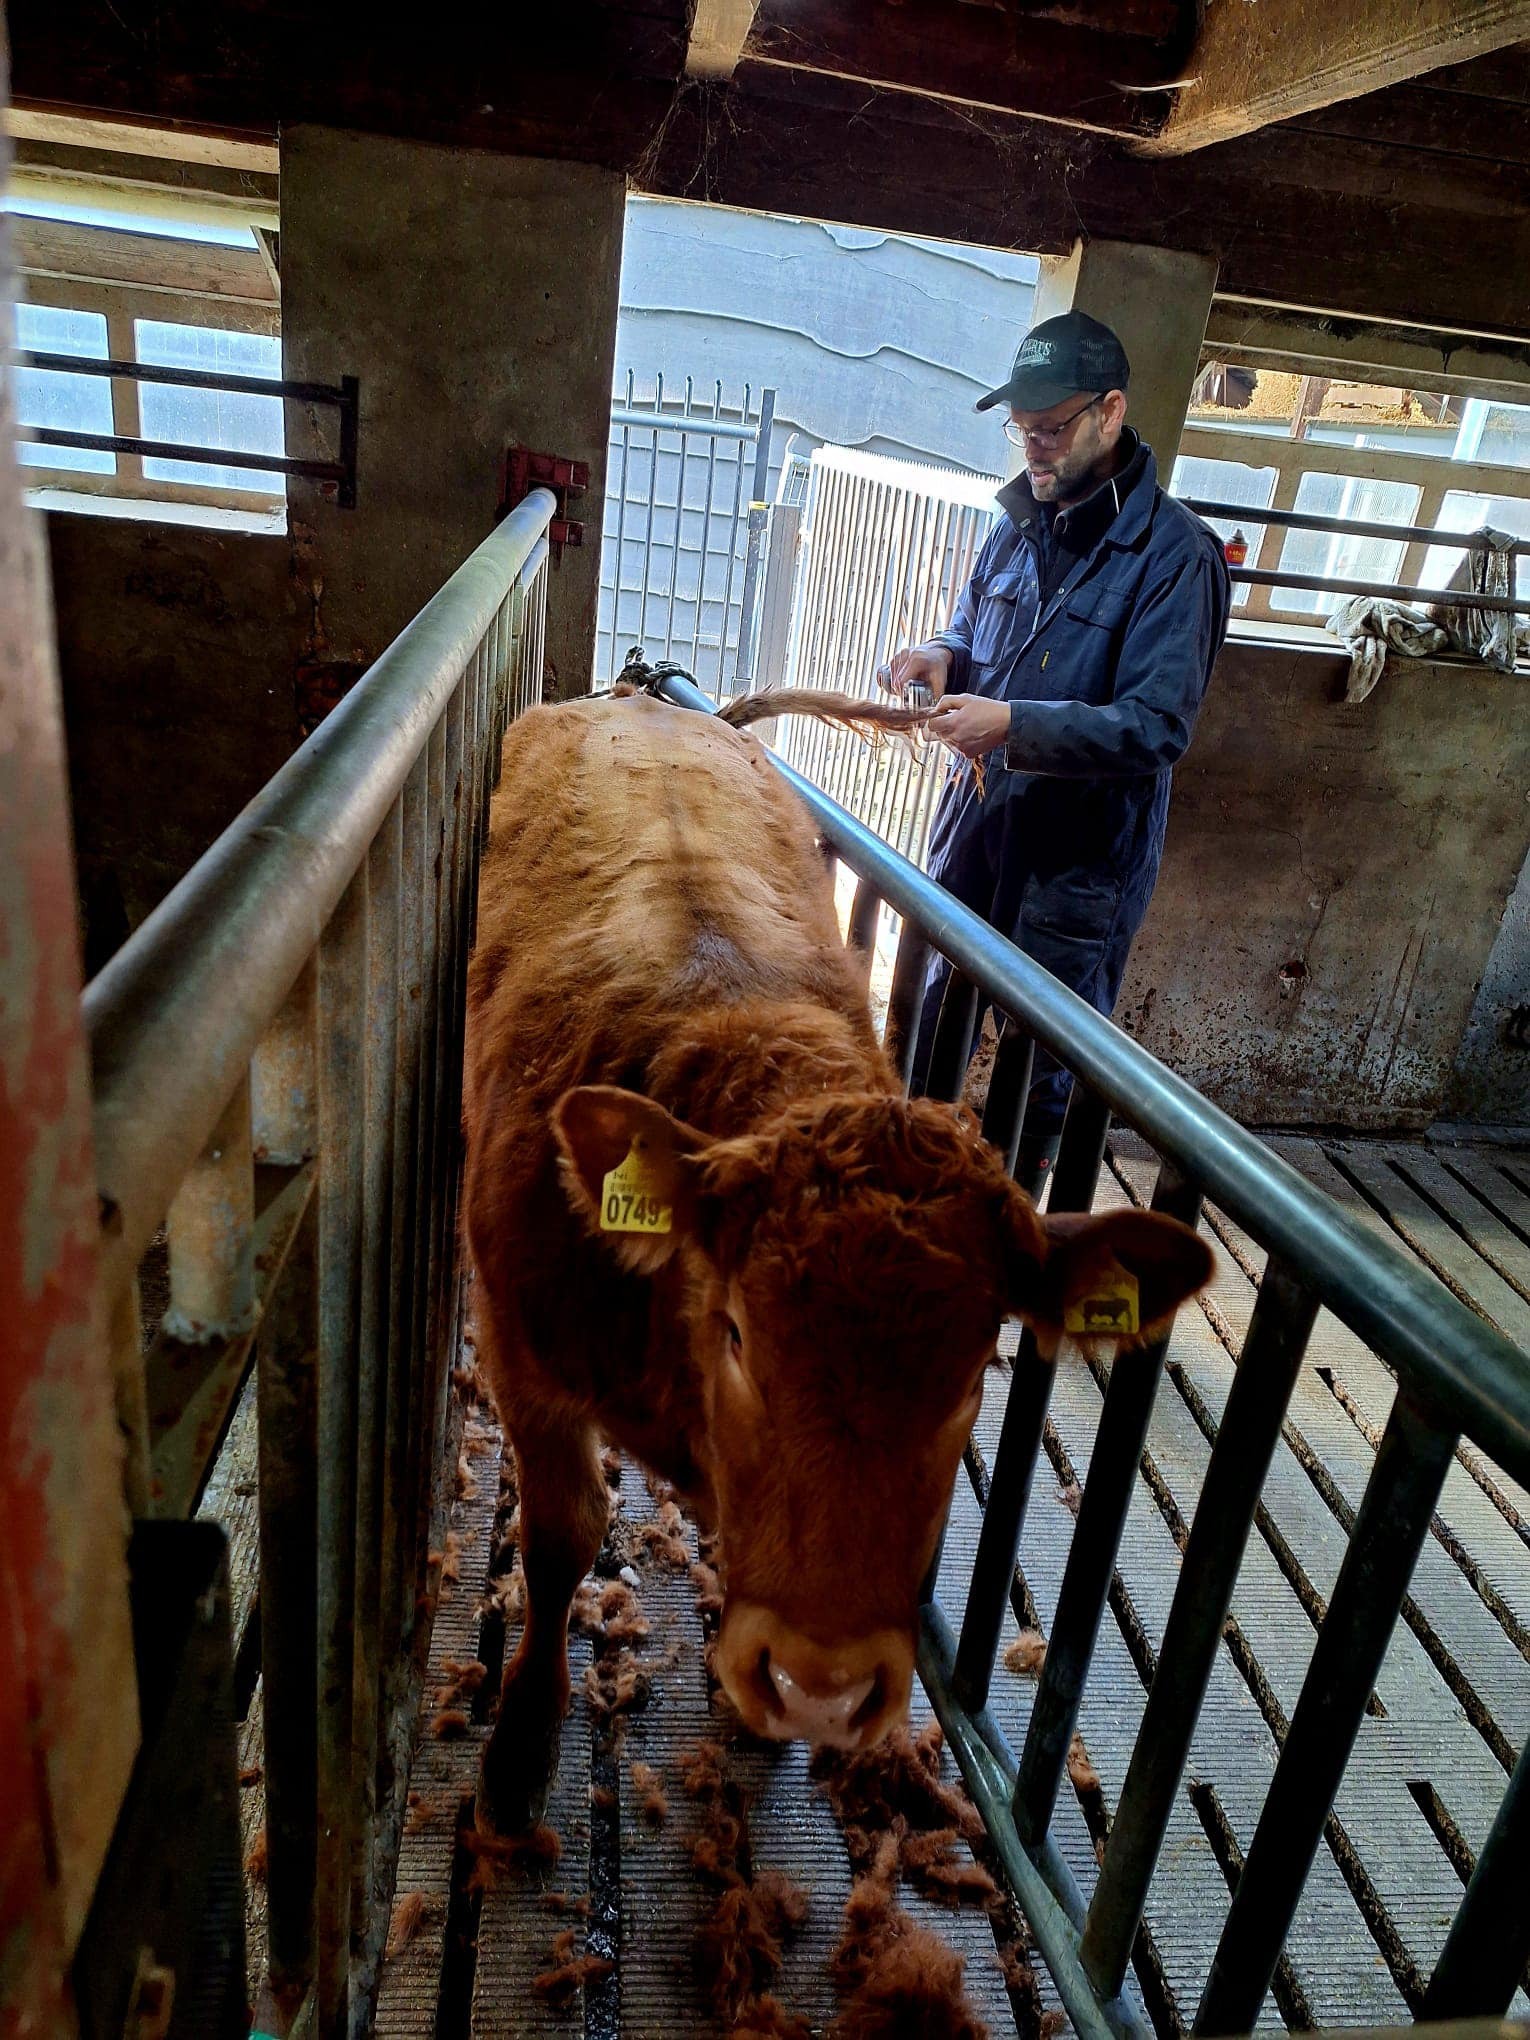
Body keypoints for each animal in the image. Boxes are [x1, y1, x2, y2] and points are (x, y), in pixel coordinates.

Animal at [463, 688, 1212, 1834]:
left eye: (976, 1372)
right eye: (737, 1333)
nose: (823, 1687)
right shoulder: (521, 1347)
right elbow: (557, 1542)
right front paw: (517, 1755)